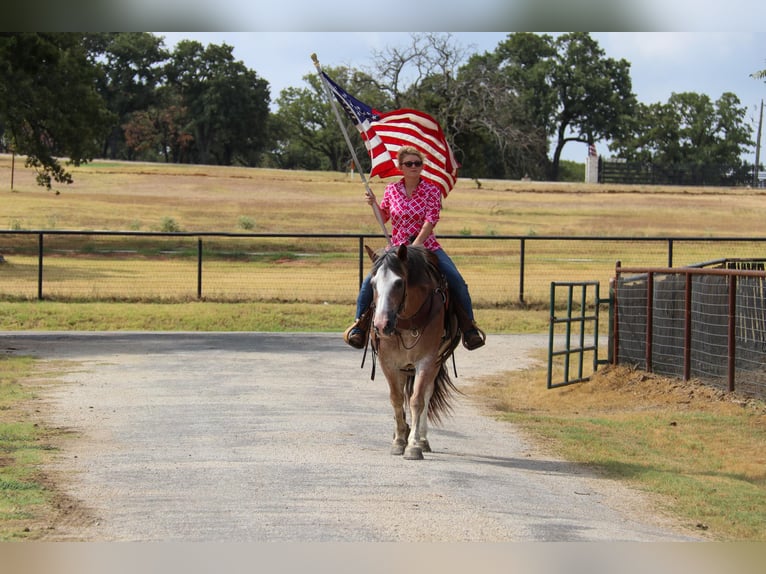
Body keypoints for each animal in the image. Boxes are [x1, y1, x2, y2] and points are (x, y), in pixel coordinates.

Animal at [366, 245, 462, 462]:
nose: (381, 325)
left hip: (434, 364)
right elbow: (396, 398)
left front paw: (413, 446)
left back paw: (422, 440)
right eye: (373, 284)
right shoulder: (388, 363)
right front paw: (399, 441)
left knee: (425, 395)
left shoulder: (426, 361)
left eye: (399, 283)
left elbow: (417, 401)